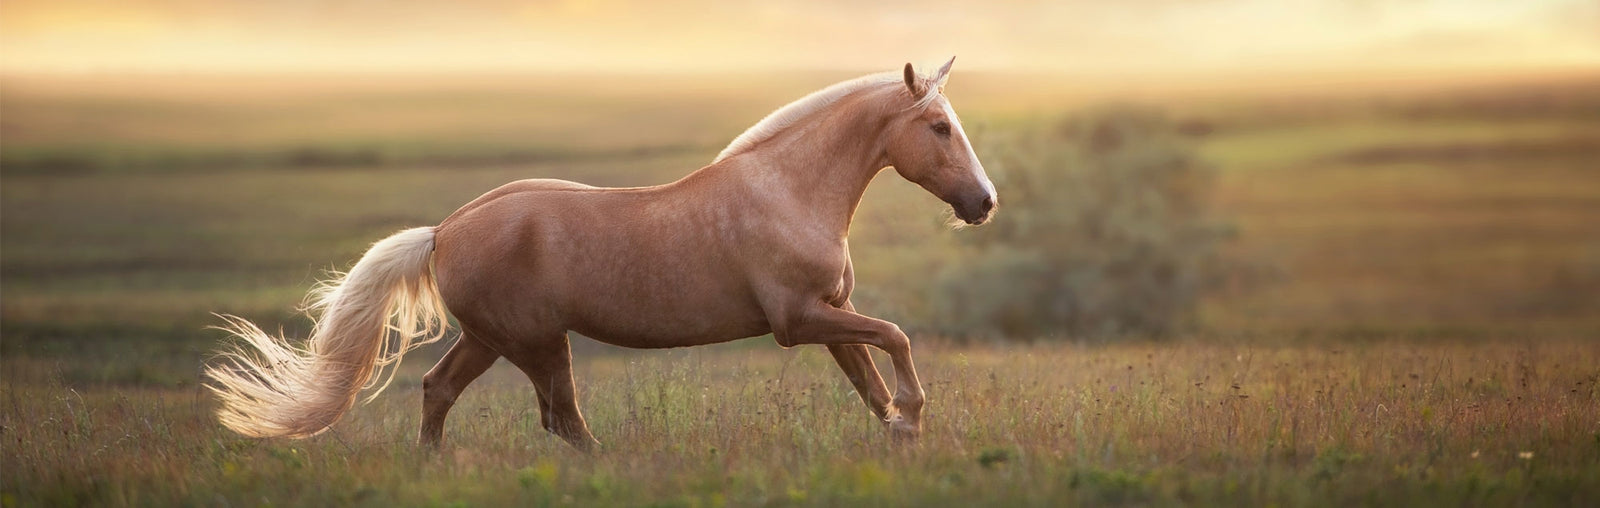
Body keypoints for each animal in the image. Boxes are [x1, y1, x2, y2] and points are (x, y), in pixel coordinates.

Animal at [206, 57, 996, 450]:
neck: (787, 190)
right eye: (938, 127)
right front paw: (914, 420)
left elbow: (870, 380)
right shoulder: (798, 321)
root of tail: (445, 231)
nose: (983, 202)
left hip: (491, 340)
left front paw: (901, 436)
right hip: (536, 343)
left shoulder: (831, 312)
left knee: (441, 392)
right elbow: (895, 341)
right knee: (563, 420)